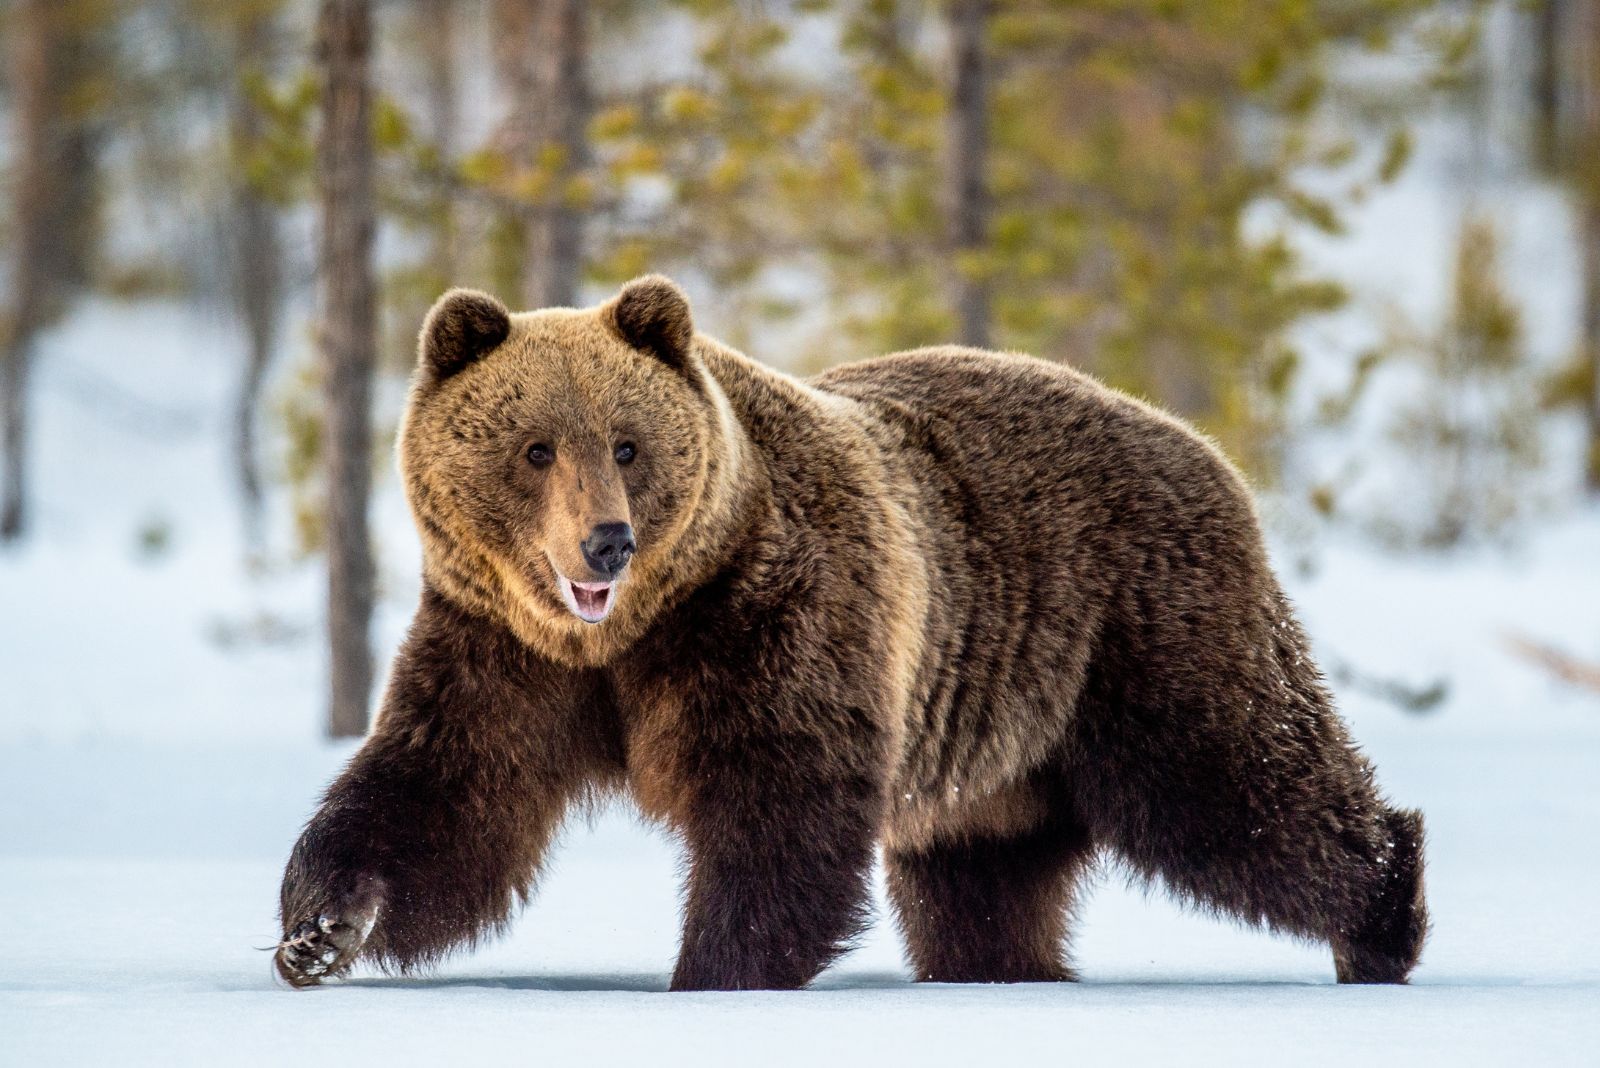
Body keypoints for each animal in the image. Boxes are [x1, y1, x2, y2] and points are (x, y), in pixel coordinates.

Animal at [272, 274, 1427, 991]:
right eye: (535, 447)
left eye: (629, 444)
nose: (606, 542)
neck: (629, 633)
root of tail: (1202, 444)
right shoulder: (501, 646)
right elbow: (445, 795)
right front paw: (318, 930)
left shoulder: (771, 613)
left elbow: (779, 802)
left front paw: (712, 969)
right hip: (1002, 743)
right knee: (984, 876)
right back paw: (1007, 966)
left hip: (1135, 632)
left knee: (1238, 785)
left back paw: (1380, 913)